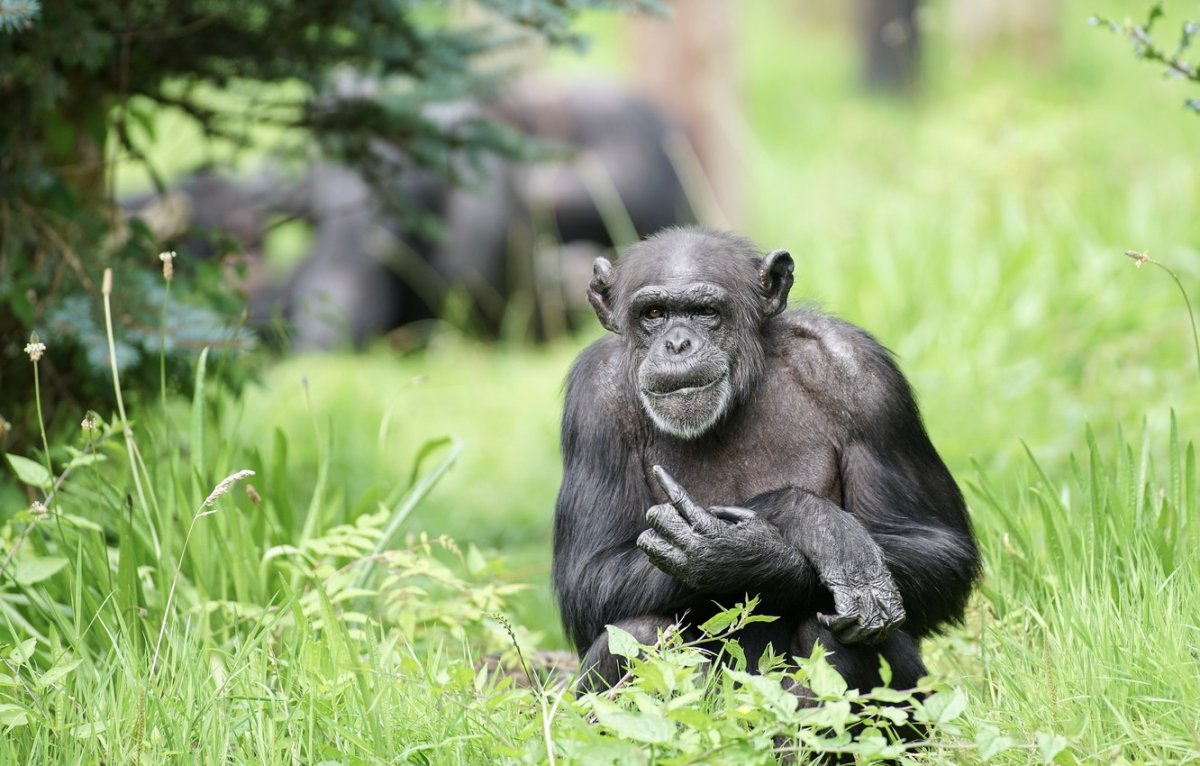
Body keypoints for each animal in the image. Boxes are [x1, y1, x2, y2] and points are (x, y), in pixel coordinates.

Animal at [549, 226, 974, 696]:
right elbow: (588, 574)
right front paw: (800, 531)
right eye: (654, 313)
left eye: (705, 312)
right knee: (639, 631)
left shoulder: (869, 381)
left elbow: (936, 545)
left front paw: (761, 549)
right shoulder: (594, 401)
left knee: (832, 635)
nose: (677, 344)